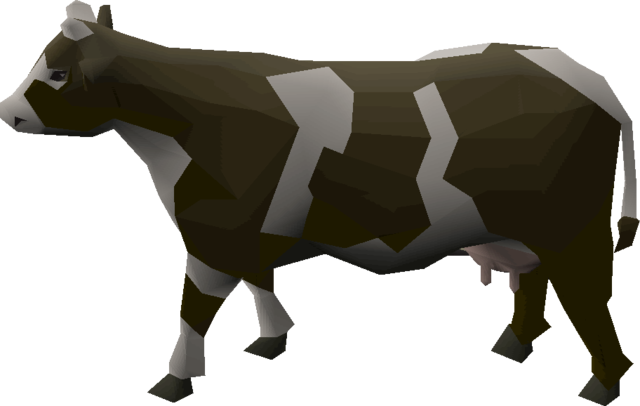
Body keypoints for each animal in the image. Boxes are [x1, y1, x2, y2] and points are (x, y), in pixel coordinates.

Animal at [1, 1, 637, 404]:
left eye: (57, 73)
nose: (7, 111)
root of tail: (582, 72)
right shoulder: (245, 232)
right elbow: (260, 281)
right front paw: (273, 338)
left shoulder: (214, 231)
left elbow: (192, 308)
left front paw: (175, 381)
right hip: (518, 231)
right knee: (532, 283)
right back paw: (512, 346)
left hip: (572, 229)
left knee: (587, 299)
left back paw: (603, 385)